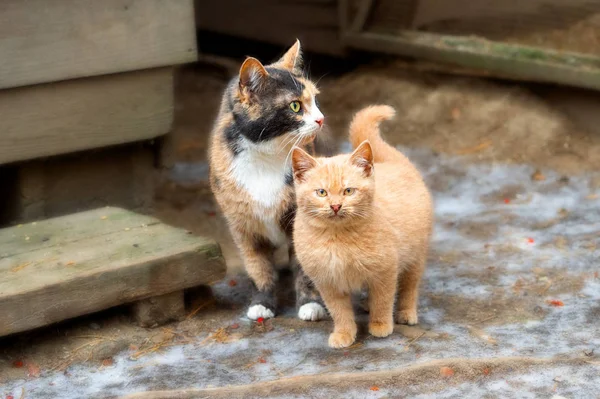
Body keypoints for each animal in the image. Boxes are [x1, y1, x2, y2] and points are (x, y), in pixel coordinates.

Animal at [209, 40, 326, 322]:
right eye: (295, 106)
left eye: (314, 99)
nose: (321, 119)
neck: (266, 158)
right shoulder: (242, 225)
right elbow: (258, 267)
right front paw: (262, 303)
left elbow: (304, 267)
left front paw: (310, 304)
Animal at [290, 104, 432, 348]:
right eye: (321, 192)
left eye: (349, 191)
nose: (335, 206)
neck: (337, 238)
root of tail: (393, 162)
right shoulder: (328, 282)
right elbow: (340, 312)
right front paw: (344, 334)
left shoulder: (385, 269)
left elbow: (383, 299)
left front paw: (380, 325)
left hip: (416, 254)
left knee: (409, 286)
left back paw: (405, 313)